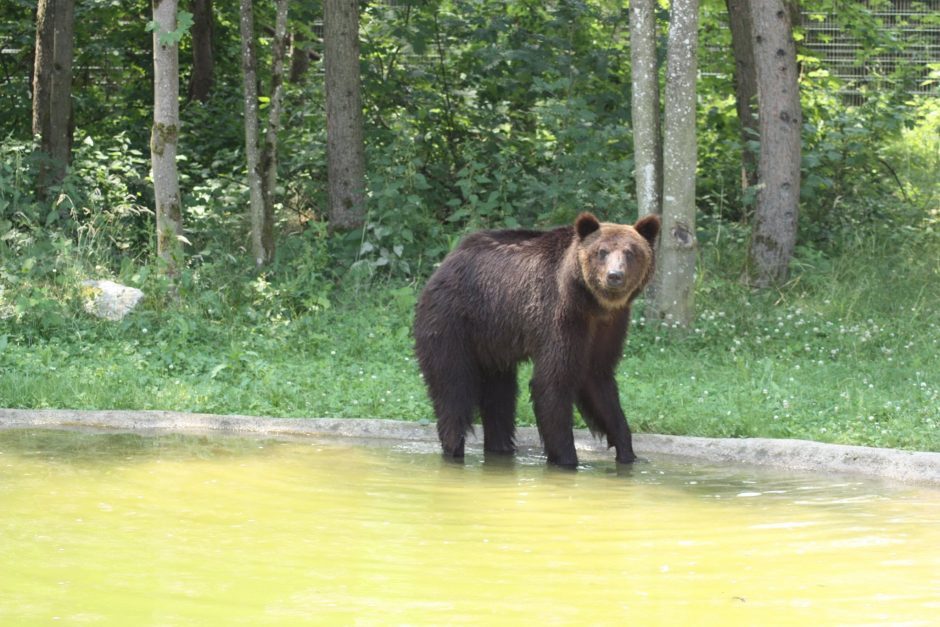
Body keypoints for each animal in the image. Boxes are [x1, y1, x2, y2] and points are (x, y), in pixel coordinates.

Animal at [414, 213, 656, 468]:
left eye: (630, 252)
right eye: (602, 251)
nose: (614, 276)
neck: (593, 304)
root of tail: (445, 263)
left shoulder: (610, 326)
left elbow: (599, 382)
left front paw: (627, 452)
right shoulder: (562, 316)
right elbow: (553, 382)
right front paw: (567, 458)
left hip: (494, 339)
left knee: (500, 395)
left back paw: (501, 447)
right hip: (453, 321)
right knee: (453, 388)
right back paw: (454, 450)